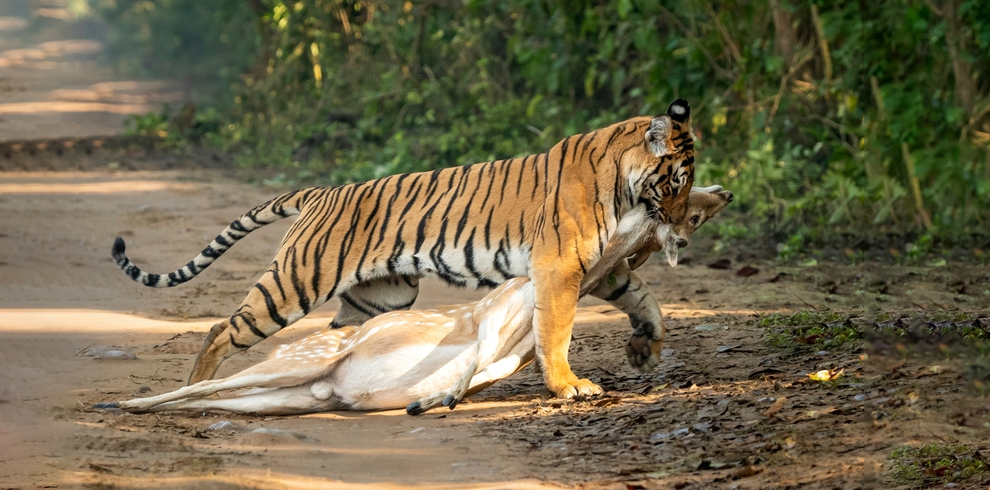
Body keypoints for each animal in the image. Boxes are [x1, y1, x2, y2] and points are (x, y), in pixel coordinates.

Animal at [112, 98, 696, 398]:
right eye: (677, 182)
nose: (683, 230)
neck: (624, 184)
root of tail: (320, 191)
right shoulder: (559, 266)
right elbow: (556, 331)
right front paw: (569, 387)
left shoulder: (599, 266)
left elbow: (644, 299)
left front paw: (646, 348)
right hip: (293, 284)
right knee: (221, 329)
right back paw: (196, 383)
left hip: (378, 297)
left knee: (336, 340)